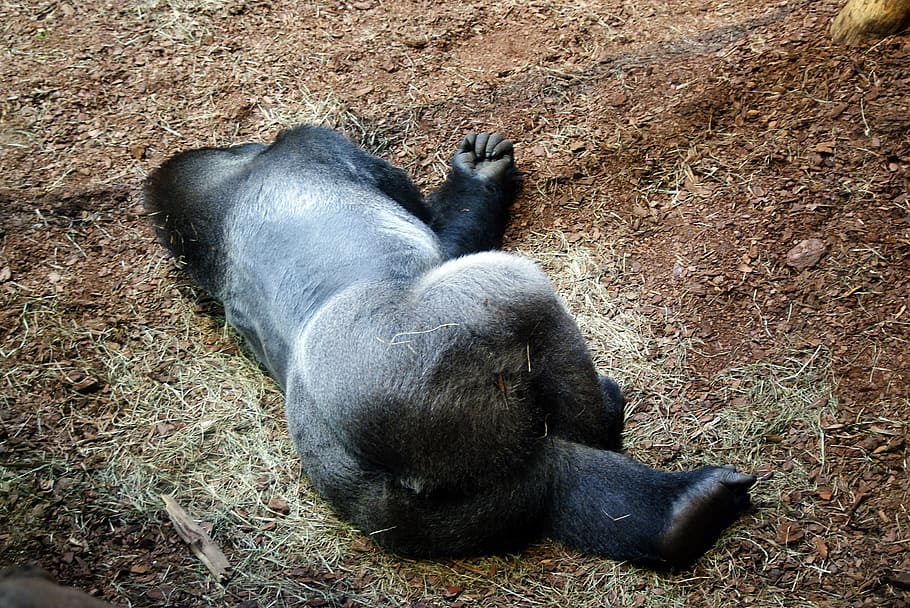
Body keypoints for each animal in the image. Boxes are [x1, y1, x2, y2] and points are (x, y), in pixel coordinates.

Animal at [144, 125, 754, 568]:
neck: (234, 180)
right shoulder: (320, 143)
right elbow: (449, 237)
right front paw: (477, 181)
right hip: (417, 367)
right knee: (511, 289)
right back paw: (605, 419)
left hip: (404, 516)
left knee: (547, 484)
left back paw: (683, 517)